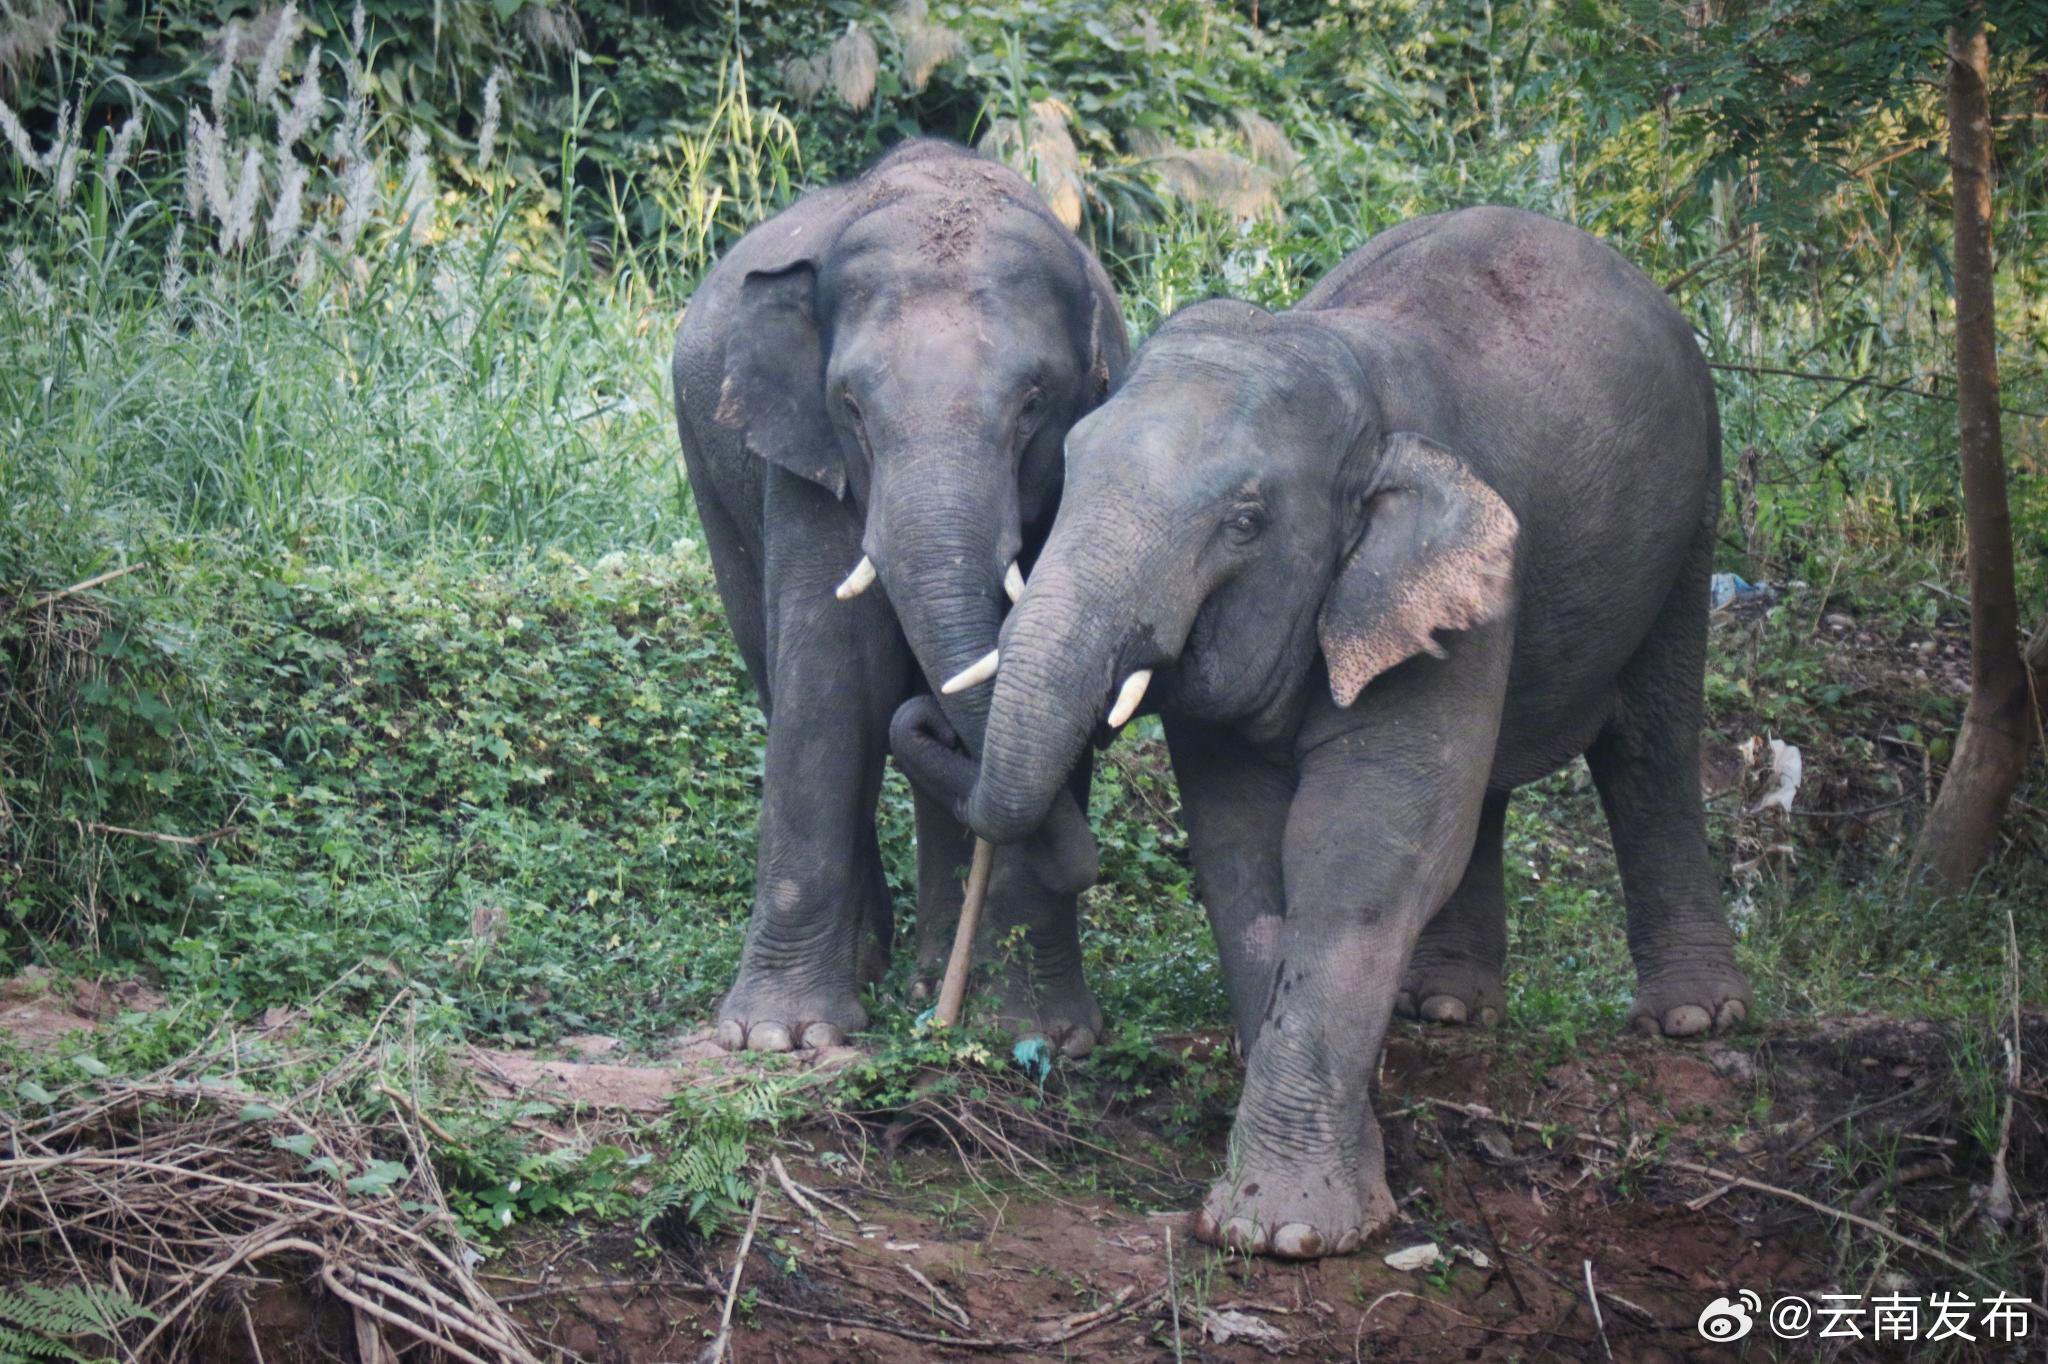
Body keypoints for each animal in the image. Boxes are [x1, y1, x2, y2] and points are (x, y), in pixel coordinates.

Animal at [671, 139, 1127, 1055]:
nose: (937, 725)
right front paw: (780, 1038)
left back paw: (931, 982)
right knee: (775, 671)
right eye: (851, 405)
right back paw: (873, 972)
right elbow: (834, 678)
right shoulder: (805, 460)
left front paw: (1045, 1035)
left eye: (1034, 404)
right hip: (709, 473)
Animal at [894, 206, 1752, 1256]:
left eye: (1245, 520)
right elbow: (1243, 854)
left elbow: (1362, 849)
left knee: (1650, 745)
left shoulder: (1440, 575)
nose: (928, 712)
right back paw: (1447, 1007)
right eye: (1072, 464)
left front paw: (1287, 1230)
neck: (1347, 371)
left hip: (1695, 506)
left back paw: (1696, 1019)